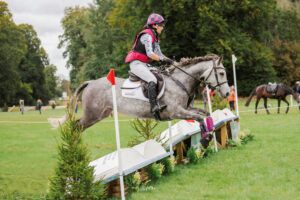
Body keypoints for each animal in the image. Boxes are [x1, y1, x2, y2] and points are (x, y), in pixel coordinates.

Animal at [49, 54, 230, 130]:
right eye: (221, 73)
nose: (227, 94)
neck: (180, 81)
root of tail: (91, 82)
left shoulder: (186, 109)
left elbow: (205, 114)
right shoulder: (176, 112)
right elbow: (199, 117)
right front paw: (206, 137)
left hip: (100, 114)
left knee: (77, 126)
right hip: (92, 115)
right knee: (76, 127)